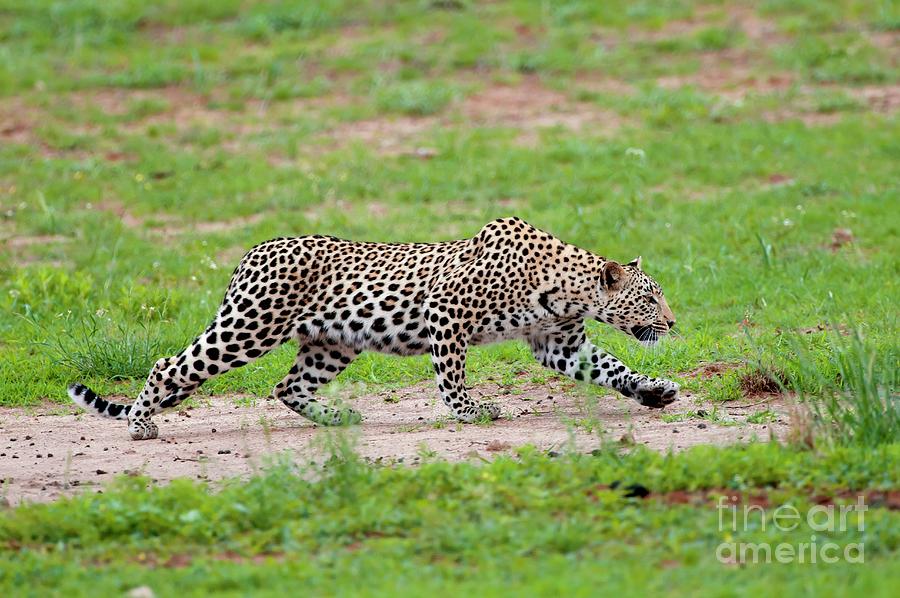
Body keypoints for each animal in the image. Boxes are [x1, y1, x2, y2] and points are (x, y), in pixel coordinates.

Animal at [68, 218, 676, 442]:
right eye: (650, 296)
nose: (672, 322)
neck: (568, 286)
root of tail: (254, 250)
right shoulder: (446, 312)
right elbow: (451, 374)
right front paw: (471, 411)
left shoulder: (560, 343)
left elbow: (612, 368)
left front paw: (655, 391)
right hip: (249, 328)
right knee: (170, 365)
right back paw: (141, 423)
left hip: (331, 343)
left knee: (287, 386)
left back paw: (338, 420)